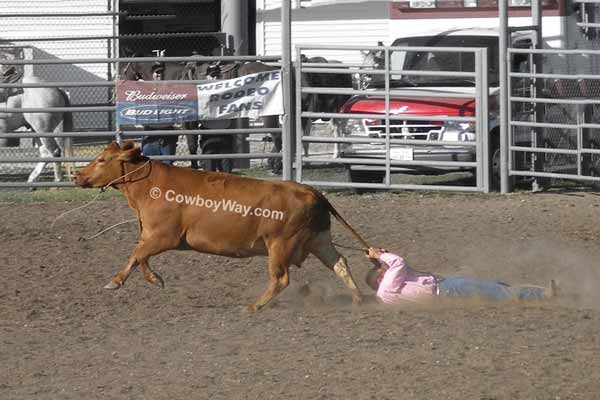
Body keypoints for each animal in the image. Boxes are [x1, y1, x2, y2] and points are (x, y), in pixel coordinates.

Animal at [75, 141, 366, 312]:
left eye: (101, 160)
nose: (77, 175)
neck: (148, 185)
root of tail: (312, 192)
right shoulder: (150, 235)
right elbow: (141, 257)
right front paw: (155, 279)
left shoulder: (164, 236)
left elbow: (136, 254)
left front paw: (115, 282)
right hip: (319, 239)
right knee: (339, 263)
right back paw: (357, 299)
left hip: (280, 244)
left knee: (281, 278)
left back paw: (254, 306)